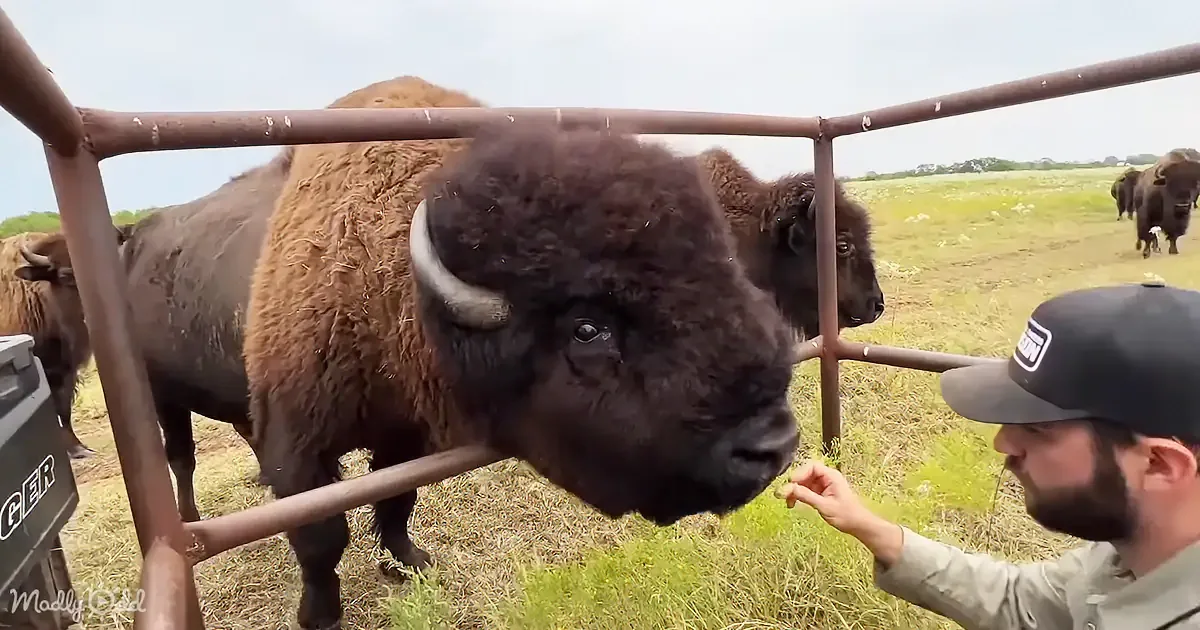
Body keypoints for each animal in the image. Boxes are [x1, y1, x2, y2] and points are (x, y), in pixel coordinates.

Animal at [241, 76, 801, 630]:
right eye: (587, 329)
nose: (774, 445)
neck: (387, 287)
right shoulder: (295, 439)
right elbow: (321, 537)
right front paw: (320, 616)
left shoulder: (405, 439)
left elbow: (397, 499)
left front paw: (412, 564)